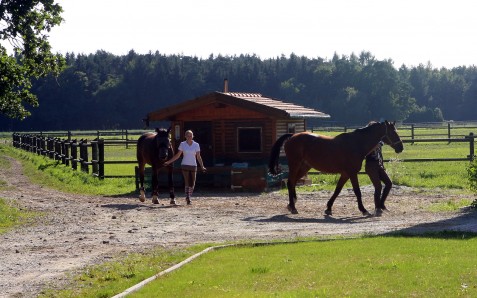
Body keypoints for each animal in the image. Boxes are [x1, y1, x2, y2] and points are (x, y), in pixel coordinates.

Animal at [268, 121, 402, 217]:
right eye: (393, 132)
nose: (401, 147)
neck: (356, 144)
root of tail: (292, 136)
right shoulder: (352, 173)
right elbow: (357, 191)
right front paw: (363, 210)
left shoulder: (345, 174)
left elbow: (337, 190)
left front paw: (328, 208)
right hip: (295, 165)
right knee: (290, 182)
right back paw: (293, 207)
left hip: (304, 167)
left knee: (293, 182)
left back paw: (292, 204)